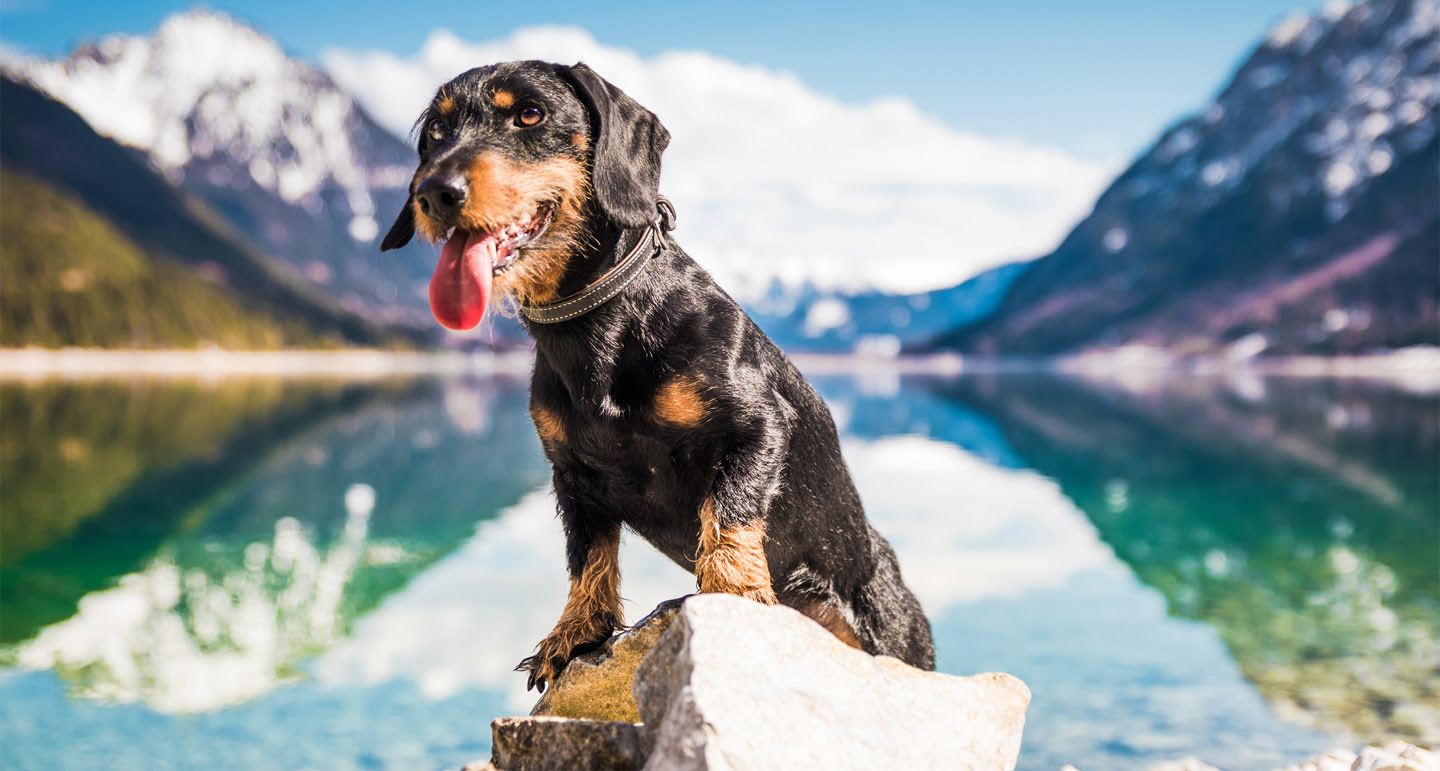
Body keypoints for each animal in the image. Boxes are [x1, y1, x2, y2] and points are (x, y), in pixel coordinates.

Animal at [383, 58, 933, 688]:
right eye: (436, 132)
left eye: (530, 114)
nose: (435, 192)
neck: (600, 325)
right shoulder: (572, 476)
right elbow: (589, 555)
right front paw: (575, 632)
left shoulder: (760, 425)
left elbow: (729, 511)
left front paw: (733, 592)